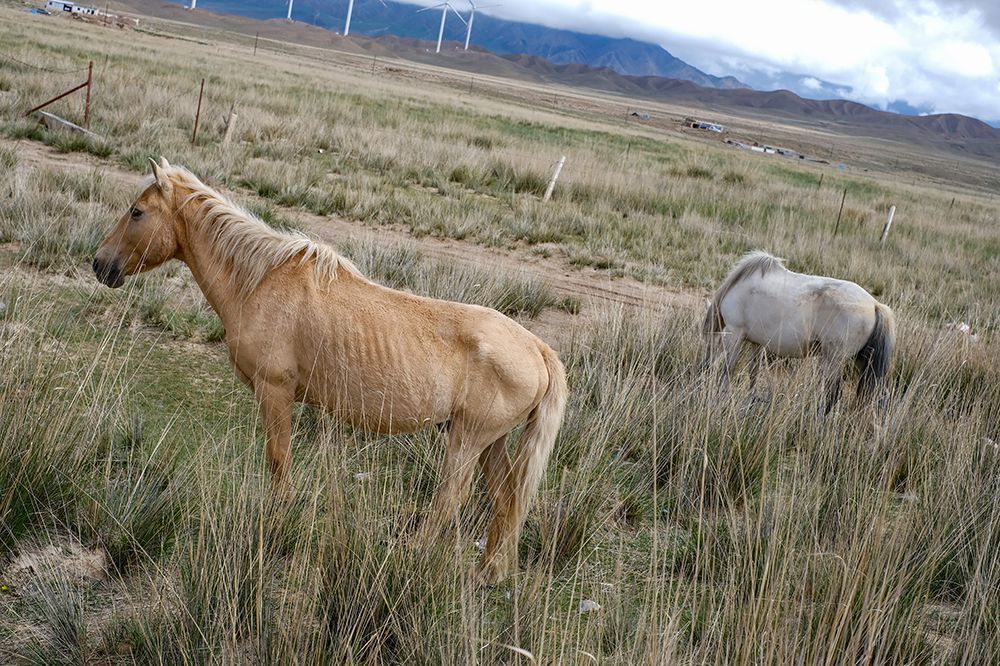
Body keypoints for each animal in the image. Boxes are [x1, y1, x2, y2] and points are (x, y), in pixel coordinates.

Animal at [94, 158, 568, 580]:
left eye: (137, 211)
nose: (100, 265)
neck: (260, 281)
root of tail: (538, 349)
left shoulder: (275, 392)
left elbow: (279, 461)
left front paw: (277, 522)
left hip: (468, 440)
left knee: (453, 497)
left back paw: (410, 557)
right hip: (491, 443)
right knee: (507, 500)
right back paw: (488, 573)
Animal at [704, 249, 900, 410]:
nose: (702, 371)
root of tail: (874, 305)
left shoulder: (734, 334)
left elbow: (727, 371)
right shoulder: (756, 343)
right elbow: (753, 374)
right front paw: (749, 403)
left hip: (834, 360)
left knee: (832, 395)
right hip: (864, 362)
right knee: (880, 396)